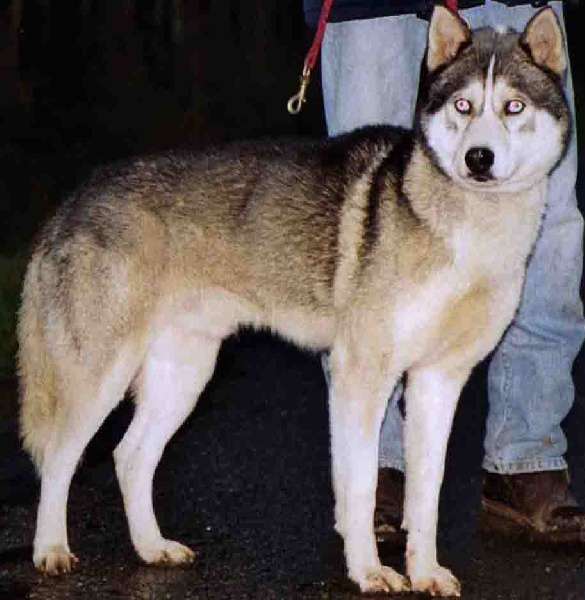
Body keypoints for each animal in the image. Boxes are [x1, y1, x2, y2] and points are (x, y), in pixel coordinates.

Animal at [18, 6, 570, 596]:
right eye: (464, 106)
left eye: (513, 107)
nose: (477, 158)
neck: (465, 228)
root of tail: (74, 199)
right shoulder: (360, 375)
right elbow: (360, 490)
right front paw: (369, 570)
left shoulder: (438, 382)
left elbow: (427, 499)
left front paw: (423, 572)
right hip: (100, 375)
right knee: (58, 459)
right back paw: (50, 549)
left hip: (185, 374)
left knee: (130, 457)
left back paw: (151, 547)